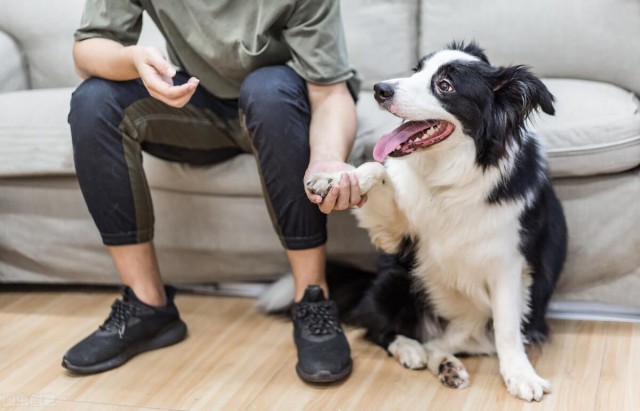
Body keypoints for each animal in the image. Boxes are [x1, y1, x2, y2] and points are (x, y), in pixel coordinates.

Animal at [308, 42, 568, 402]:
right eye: (417, 70)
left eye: (445, 86)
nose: (379, 89)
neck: (450, 181)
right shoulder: (400, 237)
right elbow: (375, 169)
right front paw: (334, 179)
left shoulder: (508, 265)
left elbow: (507, 328)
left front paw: (520, 375)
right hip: (397, 279)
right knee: (382, 330)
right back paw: (413, 350)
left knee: (438, 342)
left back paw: (445, 363)